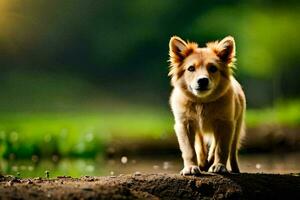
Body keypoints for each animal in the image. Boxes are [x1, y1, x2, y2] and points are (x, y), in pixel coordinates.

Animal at [168, 36, 245, 175]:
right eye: (191, 68)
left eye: (213, 68)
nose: (202, 80)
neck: (202, 103)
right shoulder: (184, 124)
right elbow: (189, 150)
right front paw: (191, 167)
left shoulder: (226, 124)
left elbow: (221, 148)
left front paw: (219, 165)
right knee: (201, 146)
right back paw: (203, 162)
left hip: (237, 127)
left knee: (231, 150)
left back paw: (231, 168)